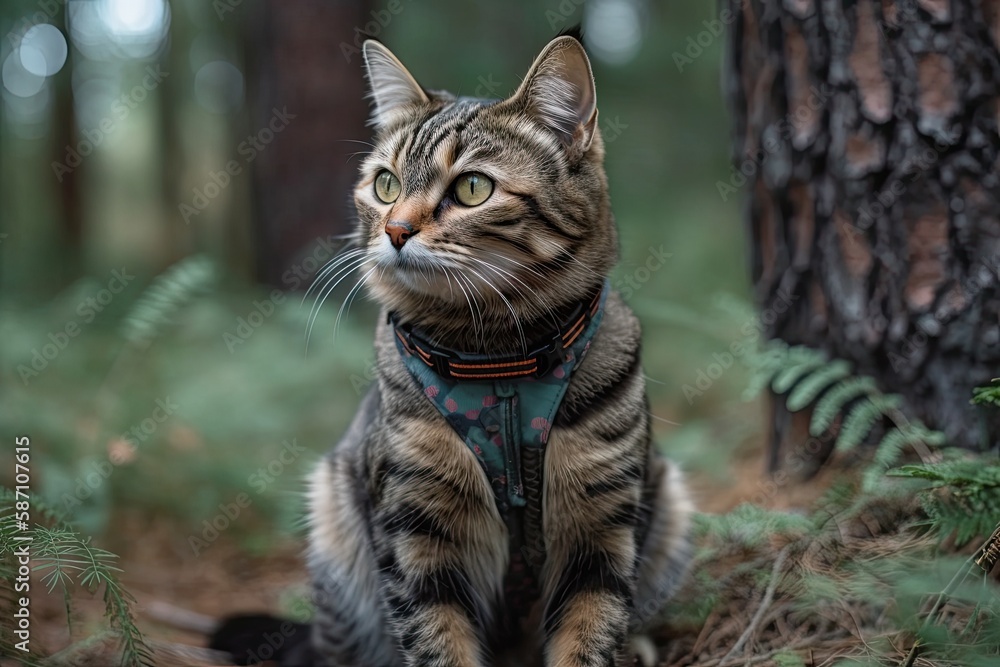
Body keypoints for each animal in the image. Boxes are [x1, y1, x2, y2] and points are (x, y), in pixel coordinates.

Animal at [214, 32, 692, 667]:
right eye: (386, 184)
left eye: (472, 188)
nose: (395, 231)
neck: (498, 361)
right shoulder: (416, 532)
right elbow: (437, 642)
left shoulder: (603, 527)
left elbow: (592, 634)